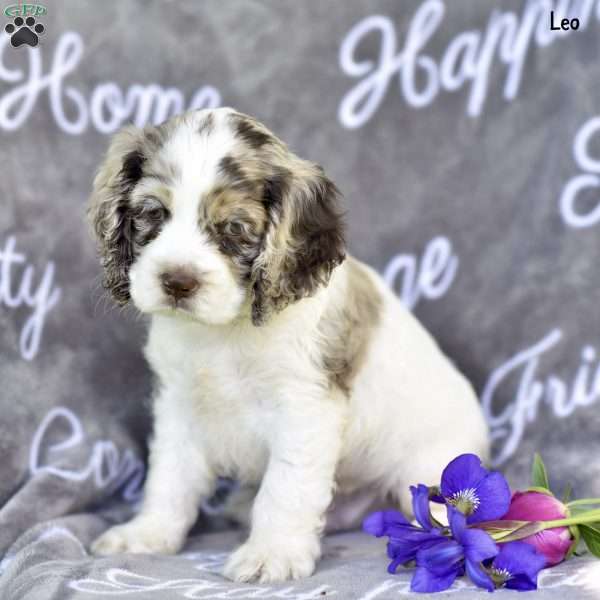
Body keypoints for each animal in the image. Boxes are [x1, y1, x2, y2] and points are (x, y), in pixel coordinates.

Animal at [90, 106, 492, 580]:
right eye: (153, 213)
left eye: (235, 229)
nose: (177, 281)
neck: (225, 331)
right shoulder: (180, 405)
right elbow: (169, 478)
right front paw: (147, 535)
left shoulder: (304, 409)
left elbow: (284, 487)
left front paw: (271, 554)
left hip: (432, 466)